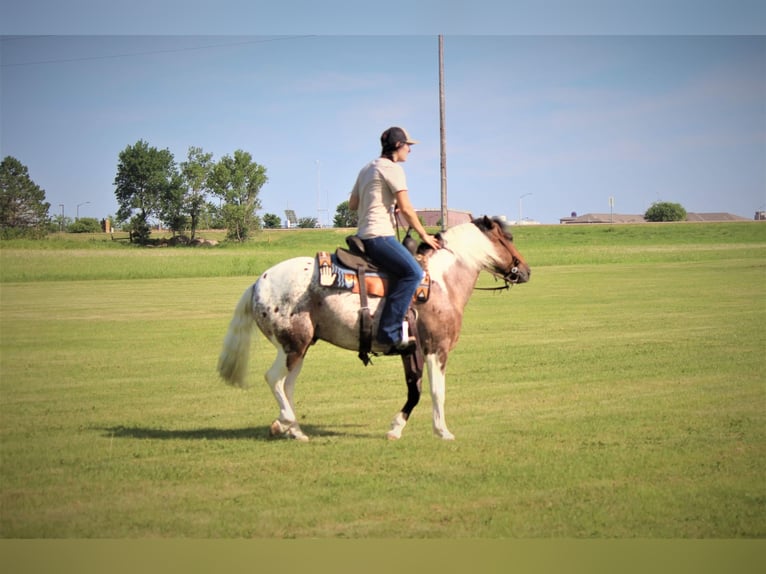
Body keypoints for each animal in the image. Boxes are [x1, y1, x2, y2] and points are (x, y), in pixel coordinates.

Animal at [216, 216, 528, 440]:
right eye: (507, 238)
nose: (525, 270)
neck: (440, 282)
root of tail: (259, 282)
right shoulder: (436, 349)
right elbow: (435, 390)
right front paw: (442, 431)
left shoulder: (409, 350)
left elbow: (414, 389)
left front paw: (397, 427)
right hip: (292, 345)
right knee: (274, 380)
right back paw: (287, 424)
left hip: (299, 349)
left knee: (287, 385)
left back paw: (292, 429)